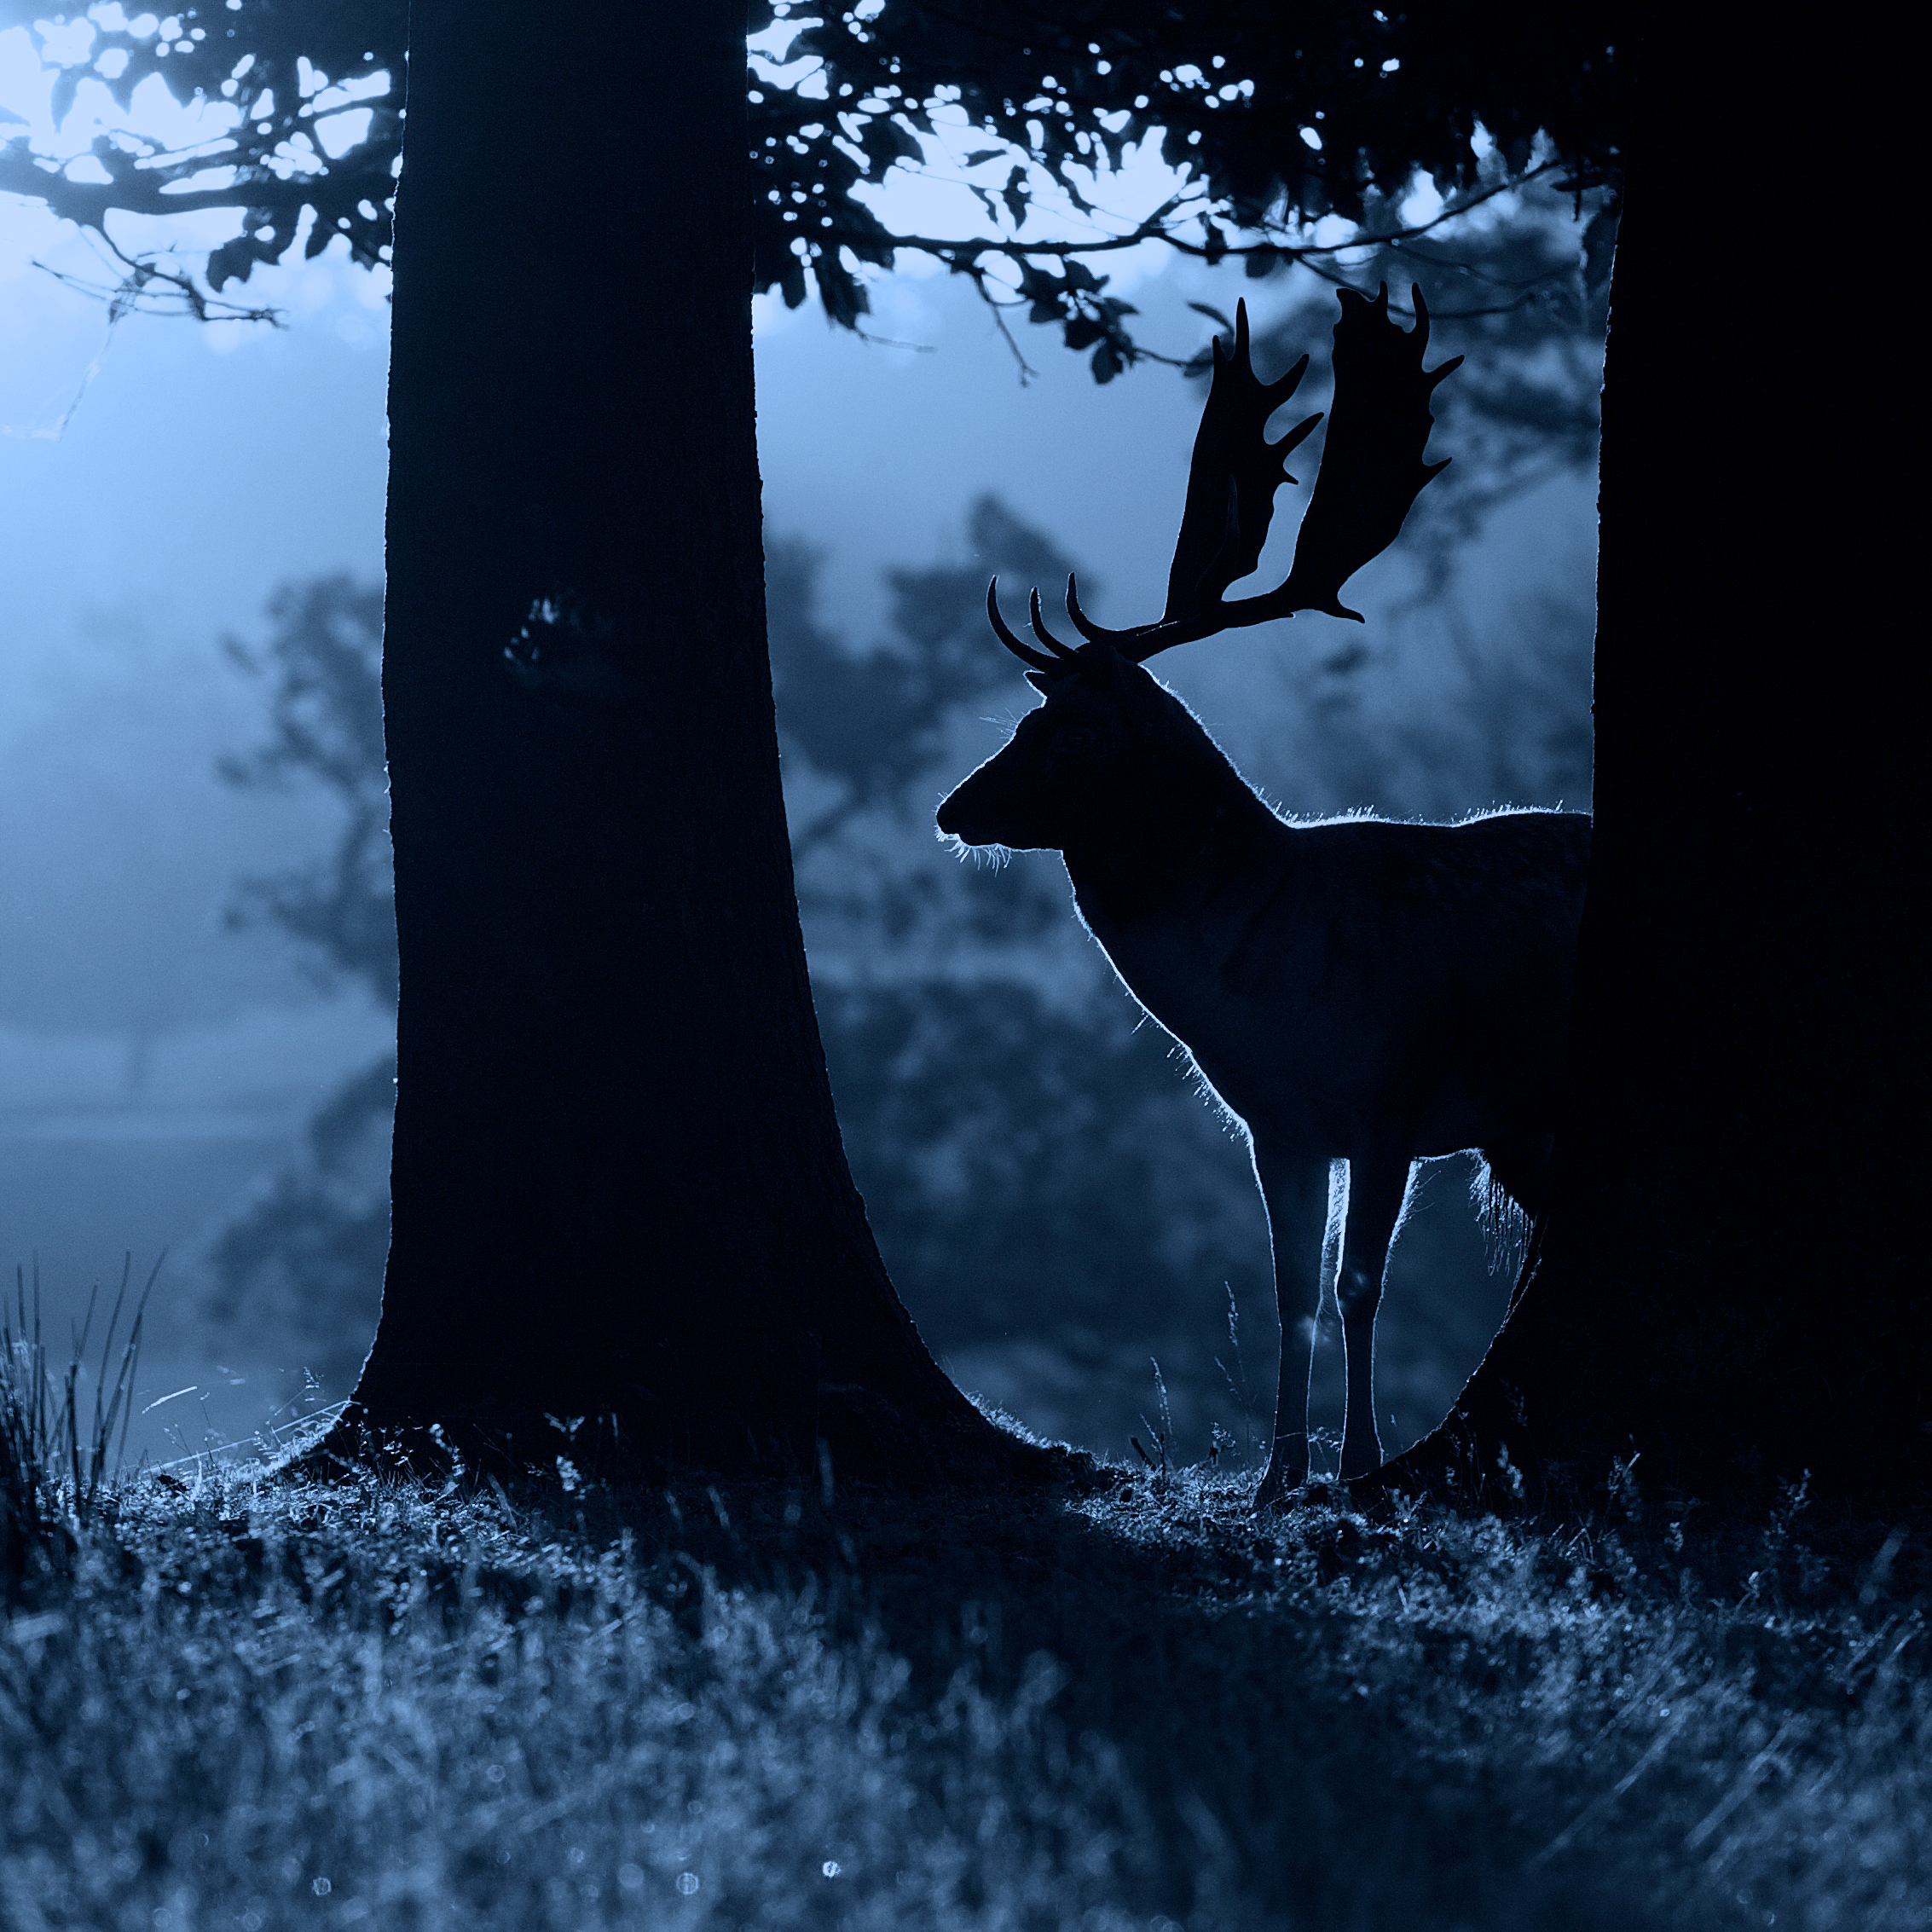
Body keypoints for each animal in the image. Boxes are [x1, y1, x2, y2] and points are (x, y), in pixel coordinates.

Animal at [936, 286, 1589, 1506]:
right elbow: (1289, 1291)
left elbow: (1358, 1287)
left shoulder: (1393, 1098)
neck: (1266, 990)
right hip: (1524, 1130)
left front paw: (1360, 1462)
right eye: (1025, 717)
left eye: (1072, 730)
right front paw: (1278, 1473)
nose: (955, 808)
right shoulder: (1275, 1124)